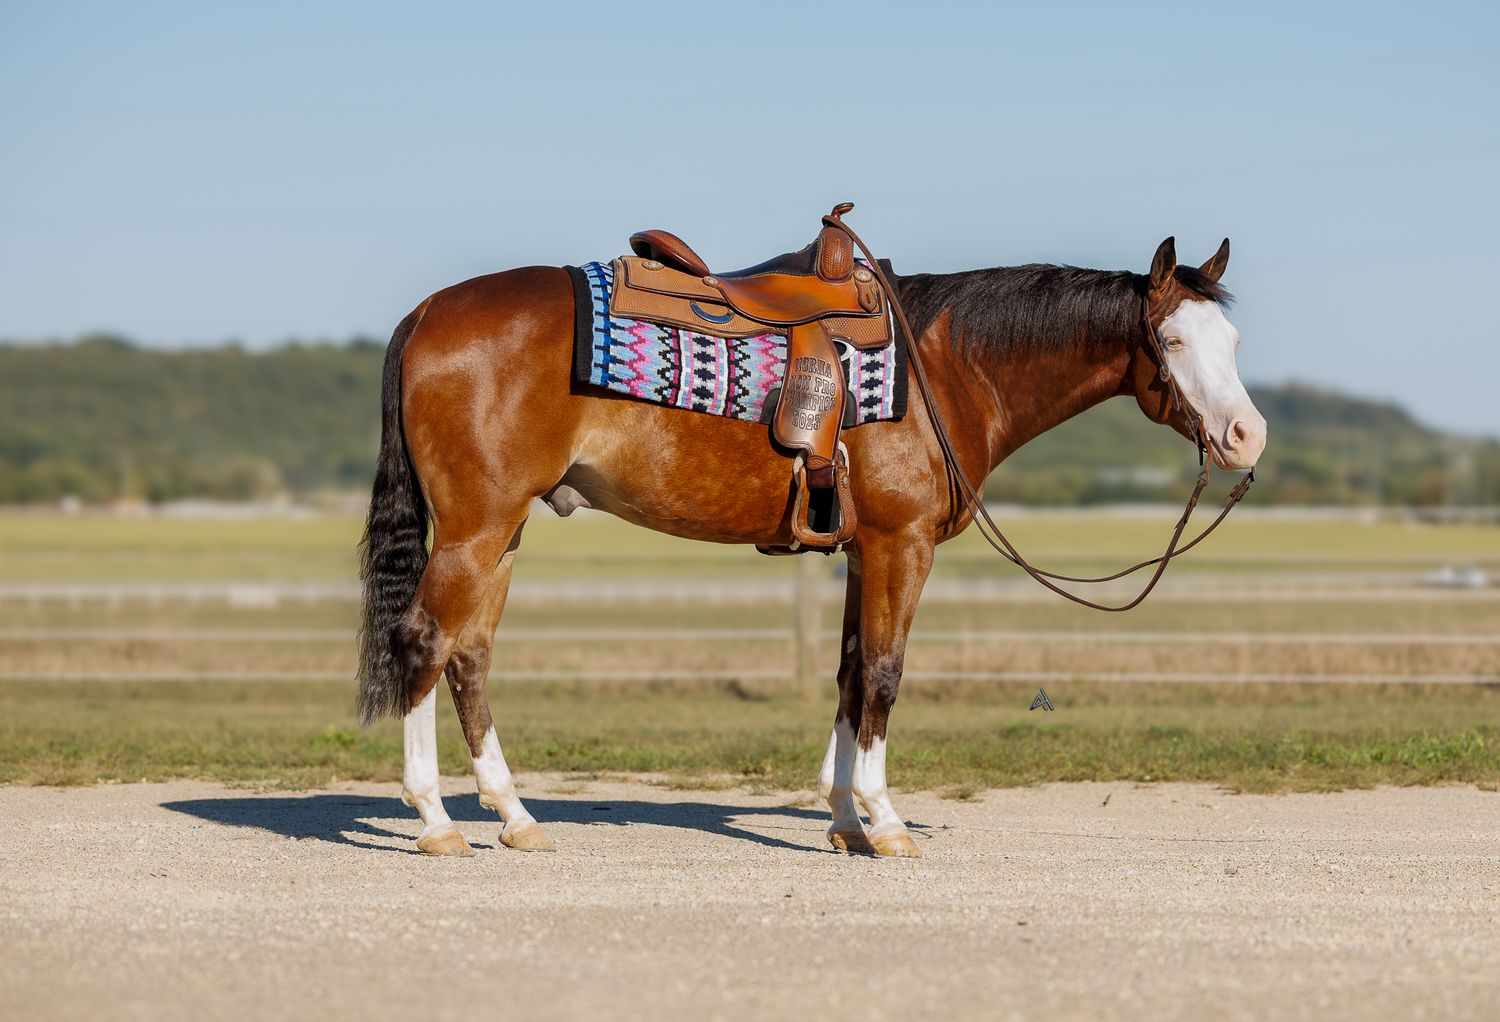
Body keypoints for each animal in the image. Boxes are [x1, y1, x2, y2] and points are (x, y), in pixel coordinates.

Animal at [355, 230, 1266, 858]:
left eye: (1233, 343)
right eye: (1172, 342)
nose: (1246, 437)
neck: (945, 370)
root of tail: (428, 311)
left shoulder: (866, 553)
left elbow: (850, 673)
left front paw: (843, 821)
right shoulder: (903, 546)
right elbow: (887, 675)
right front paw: (887, 823)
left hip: (503, 532)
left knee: (471, 655)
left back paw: (514, 816)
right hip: (473, 530)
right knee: (424, 641)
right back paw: (435, 821)